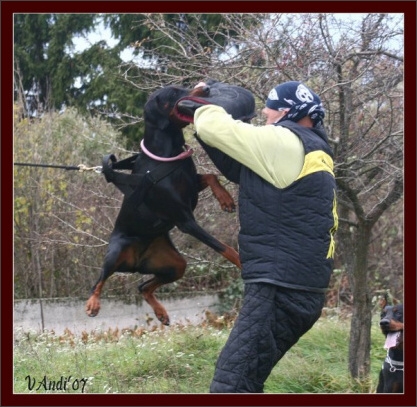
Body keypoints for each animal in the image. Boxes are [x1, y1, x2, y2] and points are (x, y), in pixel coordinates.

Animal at [85, 81, 255, 326]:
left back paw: (161, 313)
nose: (205, 87)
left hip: (175, 265)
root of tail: (136, 261)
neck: (168, 152)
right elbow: (225, 248)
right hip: (115, 252)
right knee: (99, 280)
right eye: (173, 92)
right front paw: (242, 262)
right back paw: (93, 303)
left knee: (143, 286)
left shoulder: (190, 185)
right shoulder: (185, 220)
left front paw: (225, 199)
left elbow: (211, 175)